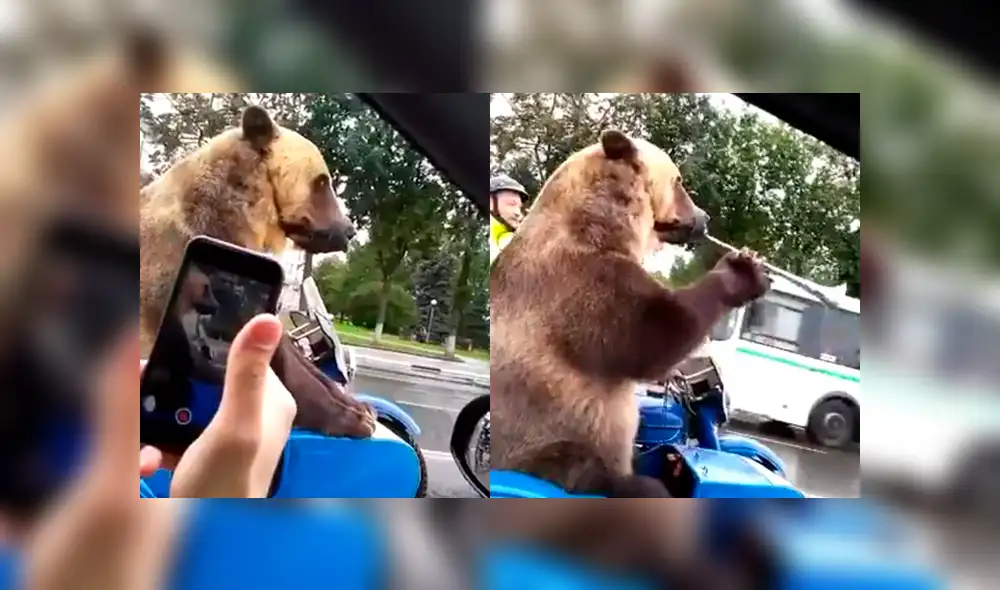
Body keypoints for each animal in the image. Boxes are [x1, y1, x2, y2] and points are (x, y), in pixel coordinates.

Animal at [490, 129, 769, 498]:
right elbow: (653, 332)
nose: (703, 217)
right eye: (679, 180)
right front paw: (743, 273)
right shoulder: (576, 286)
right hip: (549, 449)